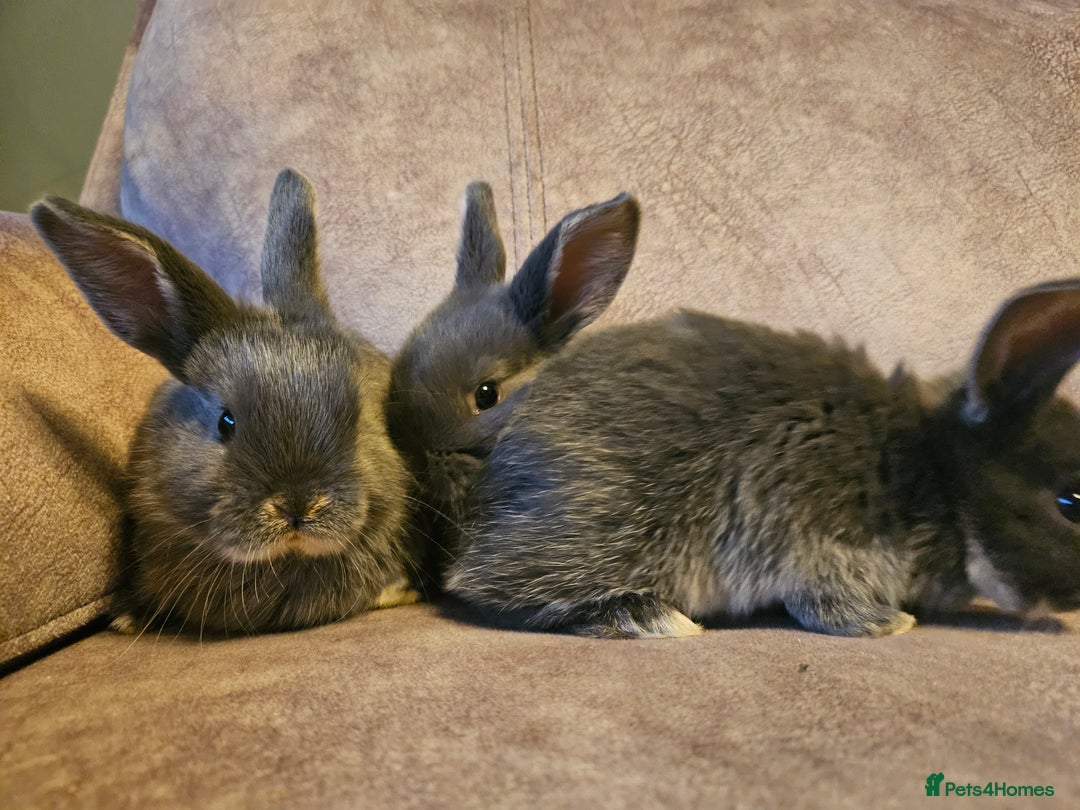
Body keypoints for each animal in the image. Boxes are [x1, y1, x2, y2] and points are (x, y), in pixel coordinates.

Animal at [441, 279, 1080, 638]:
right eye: (1071, 502)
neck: (931, 473)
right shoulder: (818, 530)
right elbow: (824, 600)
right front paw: (889, 625)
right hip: (610, 525)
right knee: (495, 589)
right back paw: (648, 618)